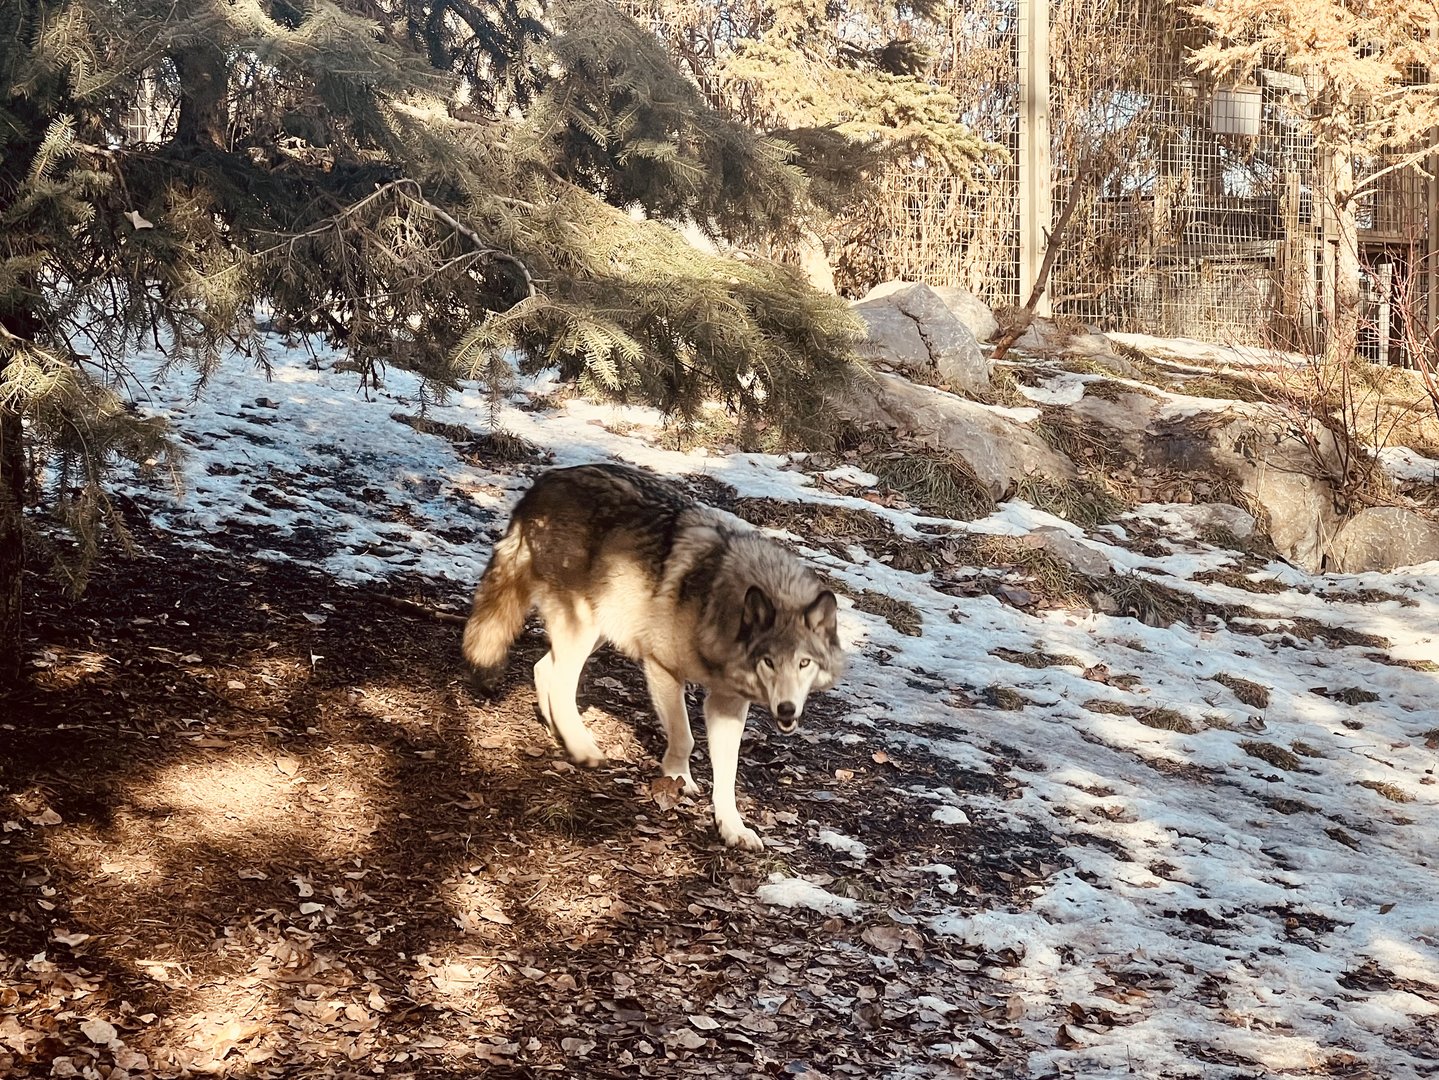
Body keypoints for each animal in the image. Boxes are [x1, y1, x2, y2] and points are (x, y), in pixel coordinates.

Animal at [462, 463, 844, 850]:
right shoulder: (663, 668)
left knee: (543, 669)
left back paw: (559, 732)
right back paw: (582, 747)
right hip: (584, 625)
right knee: (560, 682)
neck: (717, 606)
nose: (787, 710)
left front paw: (732, 827)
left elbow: (728, 772)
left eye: (804, 663)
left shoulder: (729, 702)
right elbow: (684, 736)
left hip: (604, 625)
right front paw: (678, 779)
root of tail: (543, 482)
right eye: (769, 662)